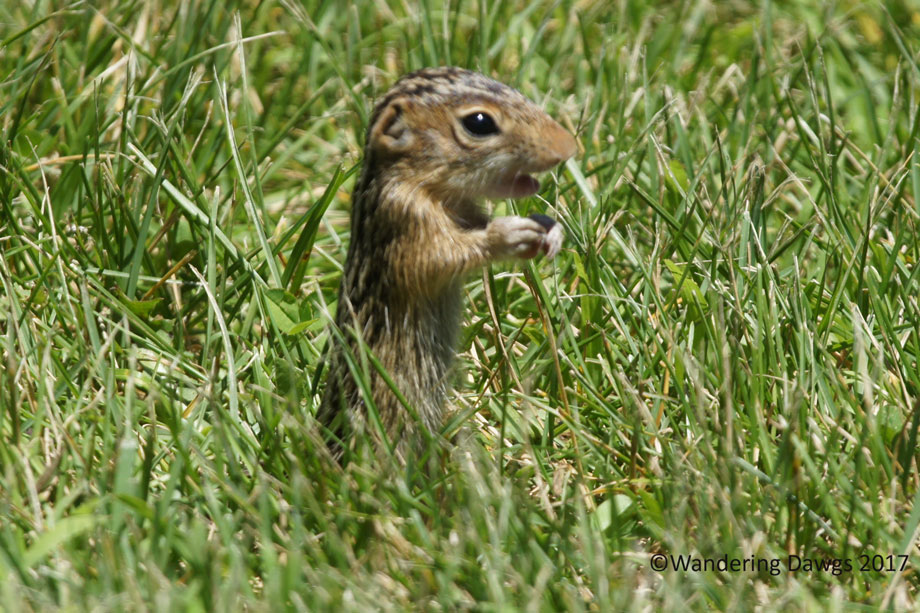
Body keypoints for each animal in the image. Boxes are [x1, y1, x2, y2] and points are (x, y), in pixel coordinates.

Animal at [318, 67, 576, 460]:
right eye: (479, 122)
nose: (570, 146)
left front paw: (551, 230)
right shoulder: (406, 223)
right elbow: (442, 257)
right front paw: (508, 233)